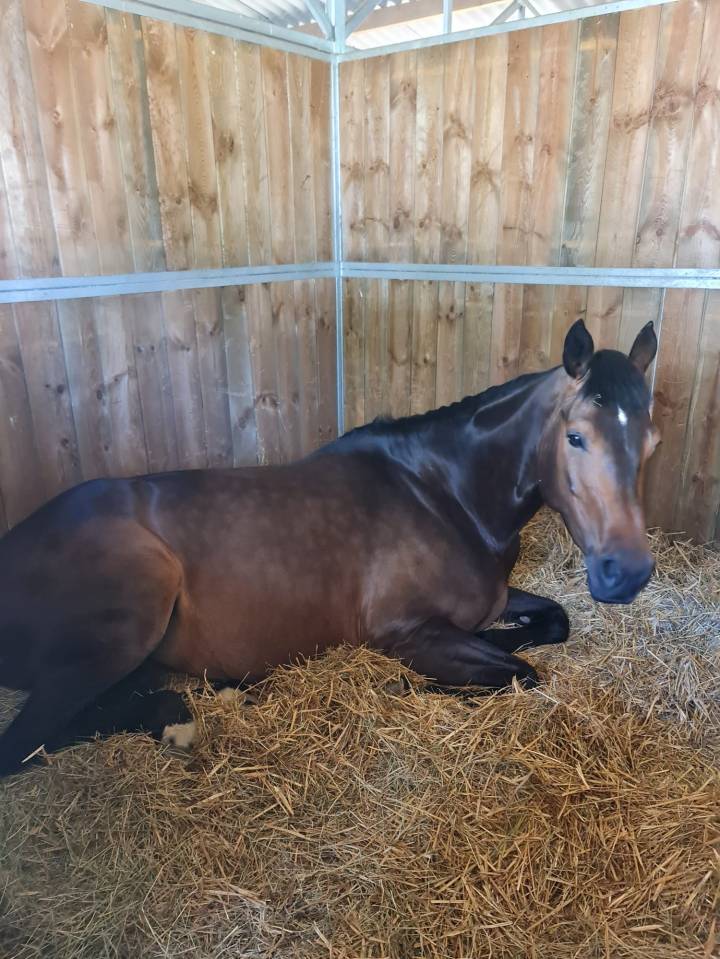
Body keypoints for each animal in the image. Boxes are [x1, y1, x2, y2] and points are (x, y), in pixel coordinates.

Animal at [0, 318, 660, 776]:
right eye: (576, 437)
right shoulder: (408, 632)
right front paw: (410, 686)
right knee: (25, 744)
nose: (626, 574)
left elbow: (550, 624)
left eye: (650, 442)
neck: (444, 494)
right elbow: (519, 673)